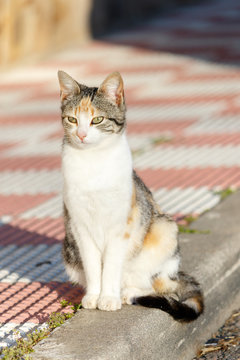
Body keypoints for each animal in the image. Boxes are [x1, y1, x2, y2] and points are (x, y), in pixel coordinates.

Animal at [57, 69, 203, 320]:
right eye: (72, 120)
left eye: (97, 120)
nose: (82, 135)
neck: (92, 162)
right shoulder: (78, 225)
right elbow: (93, 266)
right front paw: (94, 296)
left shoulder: (121, 226)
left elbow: (111, 266)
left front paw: (108, 298)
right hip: (68, 250)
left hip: (164, 229)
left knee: (157, 285)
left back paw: (128, 293)